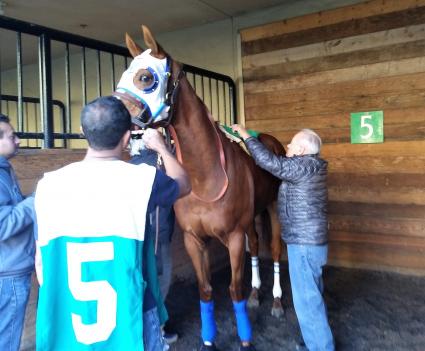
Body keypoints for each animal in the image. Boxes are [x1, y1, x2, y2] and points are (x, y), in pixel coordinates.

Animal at [112, 26, 284, 350]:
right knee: (256, 245)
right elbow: (205, 291)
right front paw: (208, 341)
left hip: (273, 208)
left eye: (146, 77)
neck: (206, 175)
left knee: (277, 250)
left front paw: (245, 340)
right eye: (122, 74)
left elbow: (233, 289)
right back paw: (257, 294)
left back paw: (278, 302)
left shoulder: (233, 238)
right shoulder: (195, 239)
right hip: (253, 217)